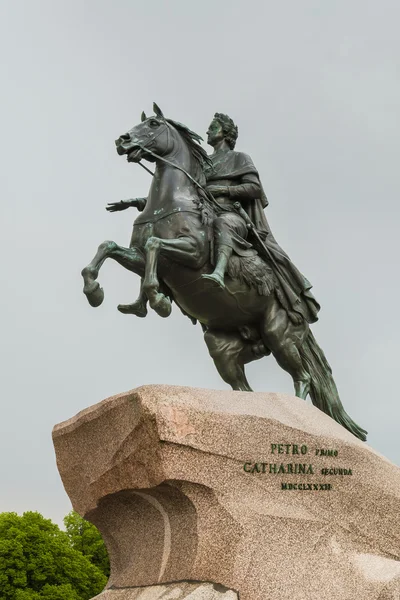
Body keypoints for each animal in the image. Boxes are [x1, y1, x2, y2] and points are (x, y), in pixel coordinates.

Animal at [81, 104, 368, 440]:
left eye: (153, 124)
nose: (122, 141)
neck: (170, 202)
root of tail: (304, 318)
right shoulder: (137, 258)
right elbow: (109, 247)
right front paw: (97, 292)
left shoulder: (191, 253)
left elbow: (154, 245)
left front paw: (158, 299)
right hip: (224, 349)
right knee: (244, 388)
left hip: (280, 336)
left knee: (304, 378)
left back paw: (300, 423)